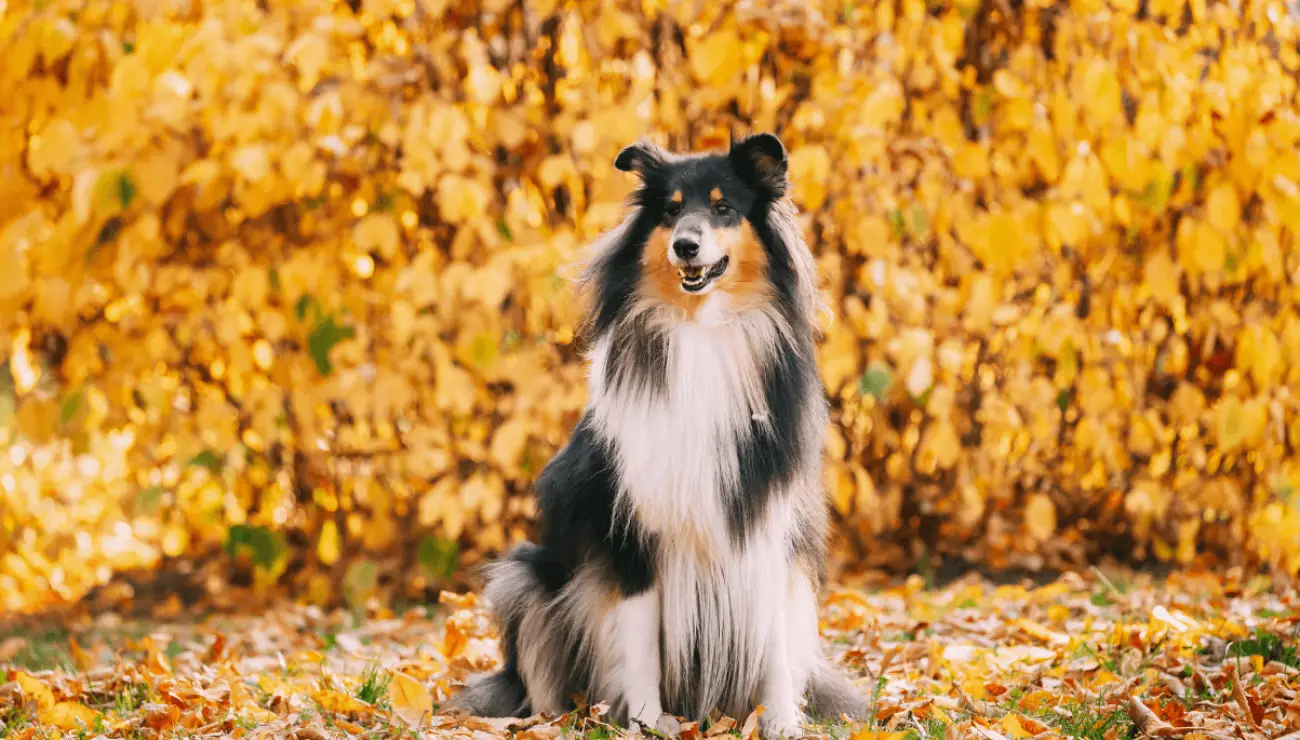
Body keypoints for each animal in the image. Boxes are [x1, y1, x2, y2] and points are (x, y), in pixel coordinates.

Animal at [447, 133, 863, 738]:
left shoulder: (766, 521)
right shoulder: (631, 530)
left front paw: (782, 722)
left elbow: (775, 646)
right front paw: (645, 723)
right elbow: (639, 639)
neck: (702, 331)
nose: (686, 246)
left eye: (723, 208)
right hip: (524, 578)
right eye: (669, 211)